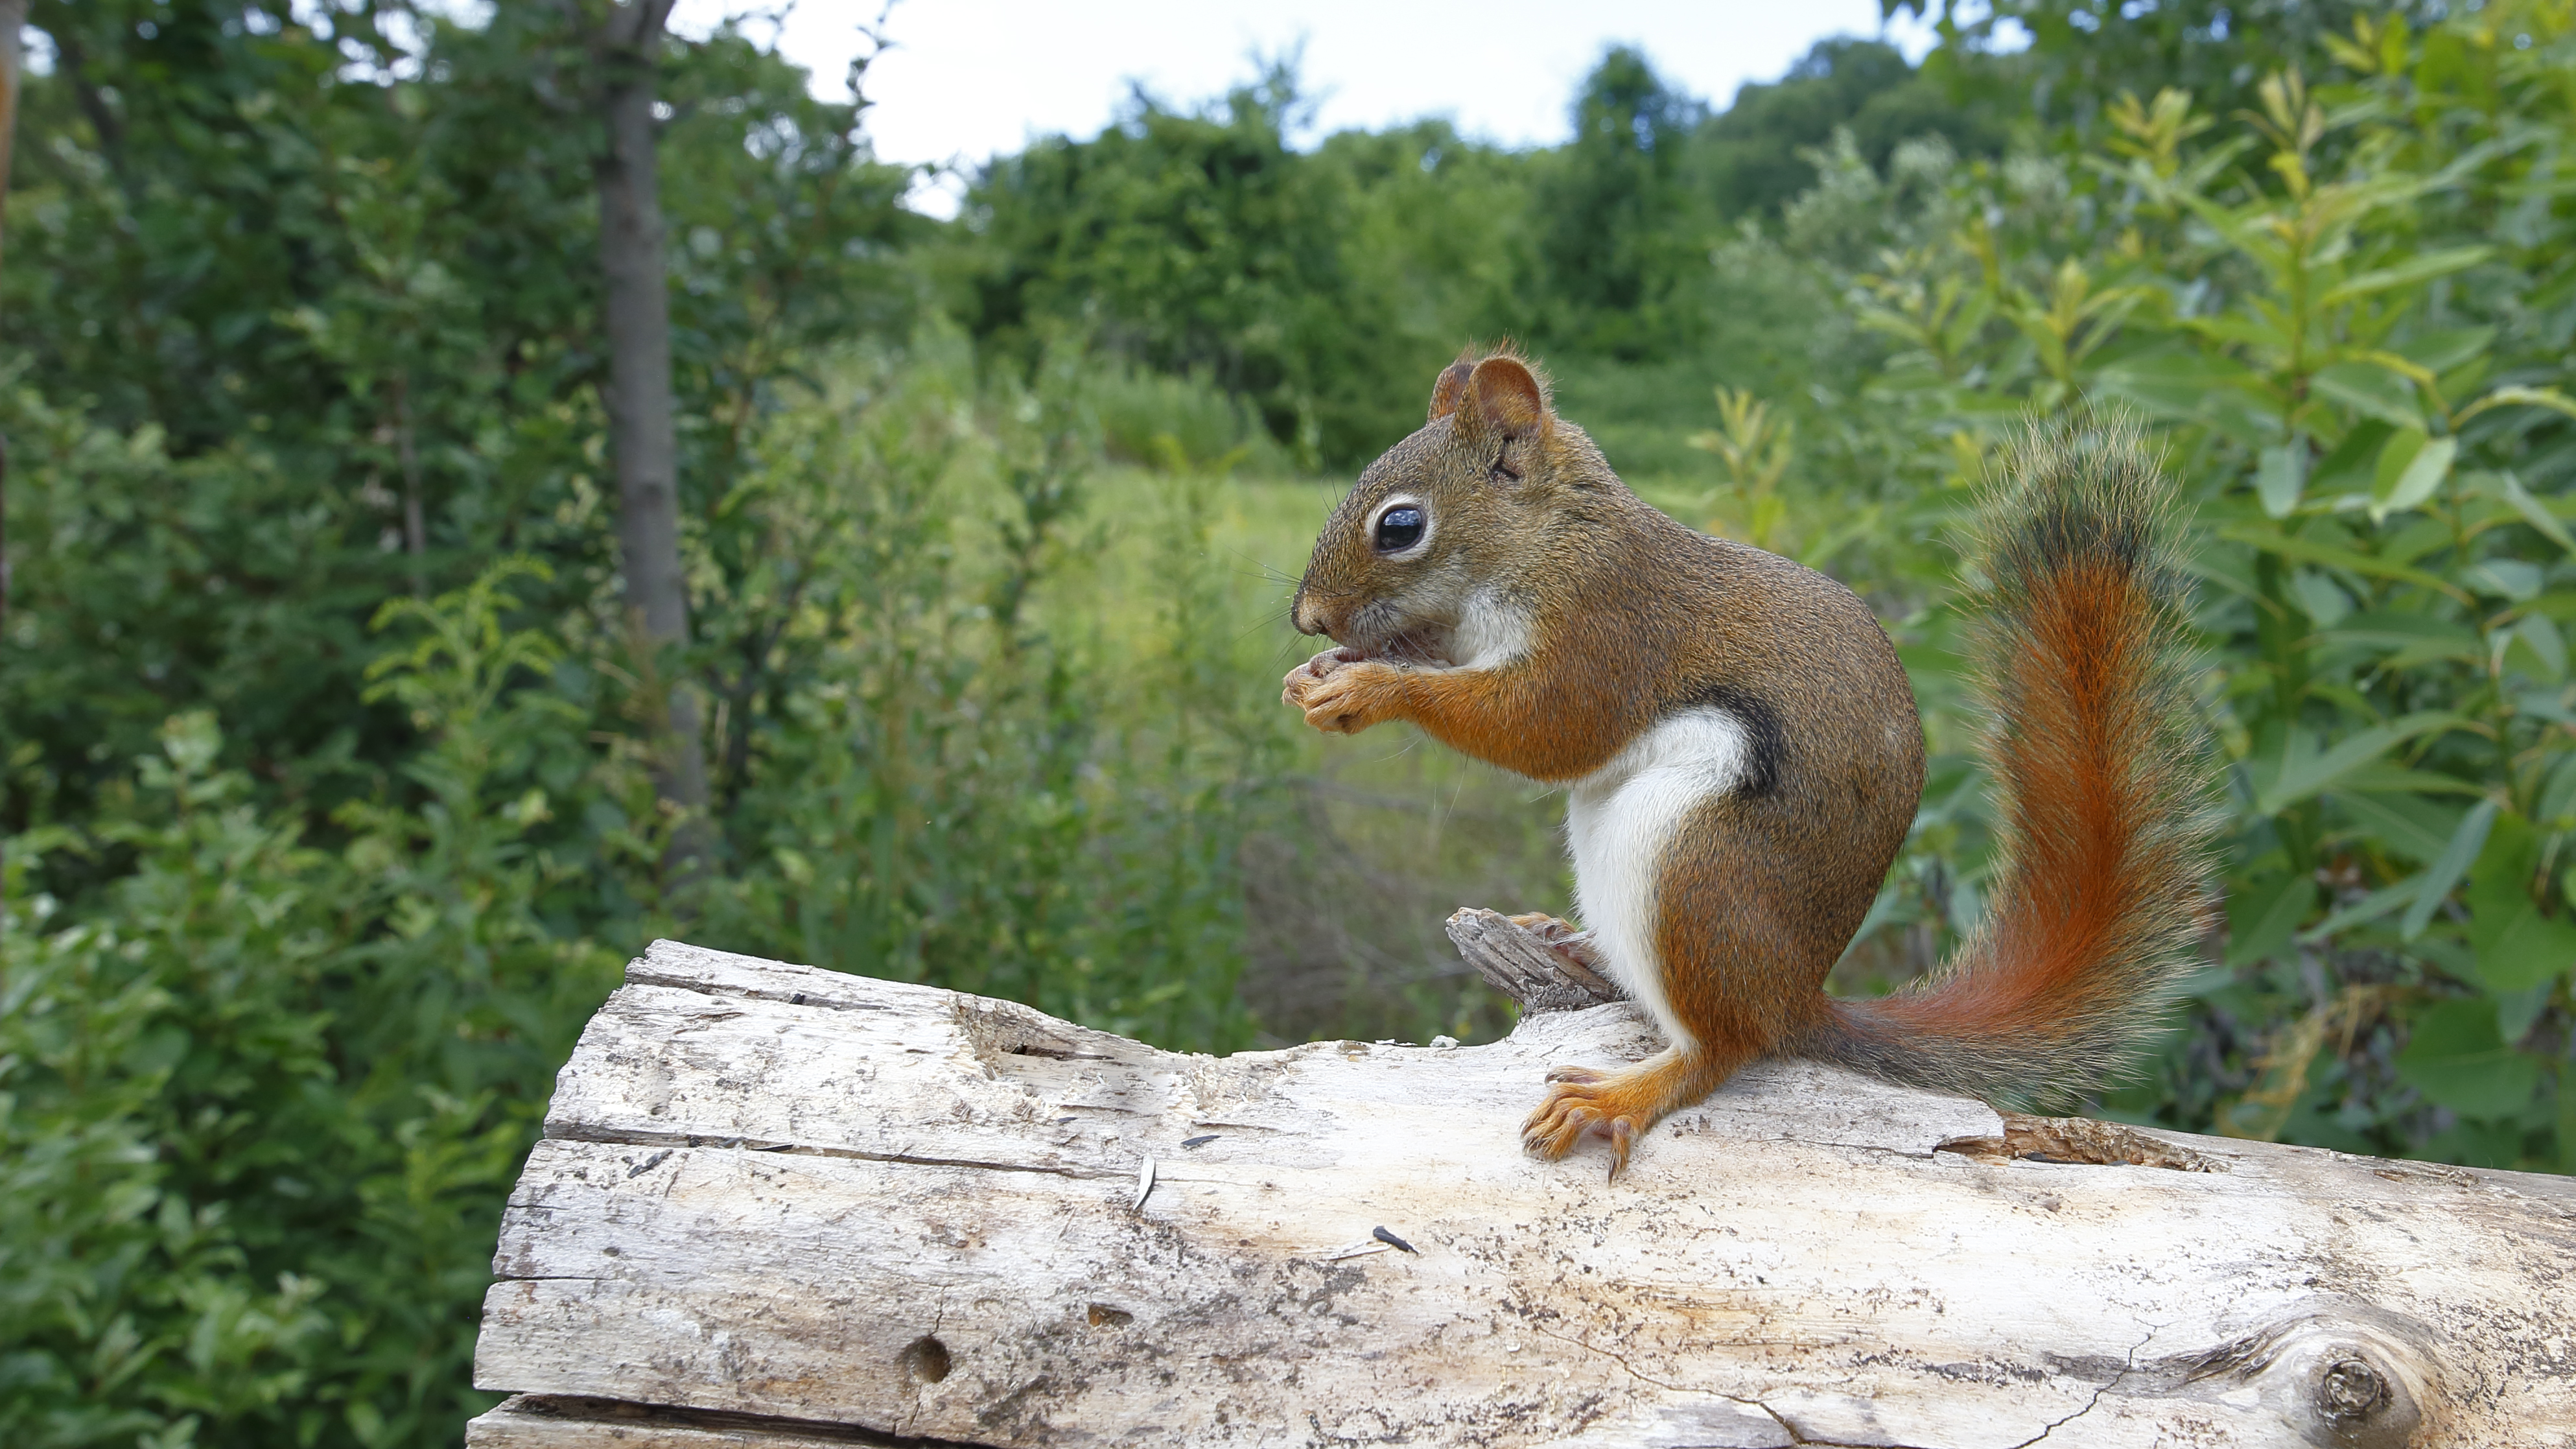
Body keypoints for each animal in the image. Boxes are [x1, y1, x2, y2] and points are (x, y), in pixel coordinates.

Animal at [1283, 348, 2215, 1175]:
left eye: (1400, 526)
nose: (1305, 617)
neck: (1549, 538)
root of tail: (1795, 998)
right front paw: (1322, 674)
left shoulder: (1606, 630)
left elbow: (1547, 730)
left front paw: (1368, 687)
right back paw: (1569, 941)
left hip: (1691, 875)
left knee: (1723, 1047)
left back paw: (1619, 1094)